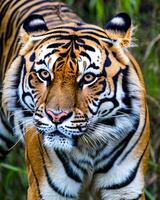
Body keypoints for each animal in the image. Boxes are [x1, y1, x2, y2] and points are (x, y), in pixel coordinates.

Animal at [0, 0, 150, 200]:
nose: (56, 116)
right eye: (44, 74)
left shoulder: (125, 190)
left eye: (88, 78)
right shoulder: (45, 190)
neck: (91, 145)